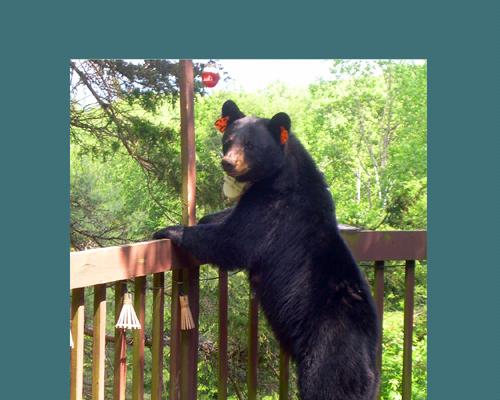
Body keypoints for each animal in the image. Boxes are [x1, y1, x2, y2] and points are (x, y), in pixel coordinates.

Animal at [152, 101, 378, 400]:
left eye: (250, 144)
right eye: (229, 140)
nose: (227, 162)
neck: (280, 172)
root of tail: (371, 370)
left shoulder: (274, 208)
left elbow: (233, 241)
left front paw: (168, 230)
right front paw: (206, 217)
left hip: (330, 357)